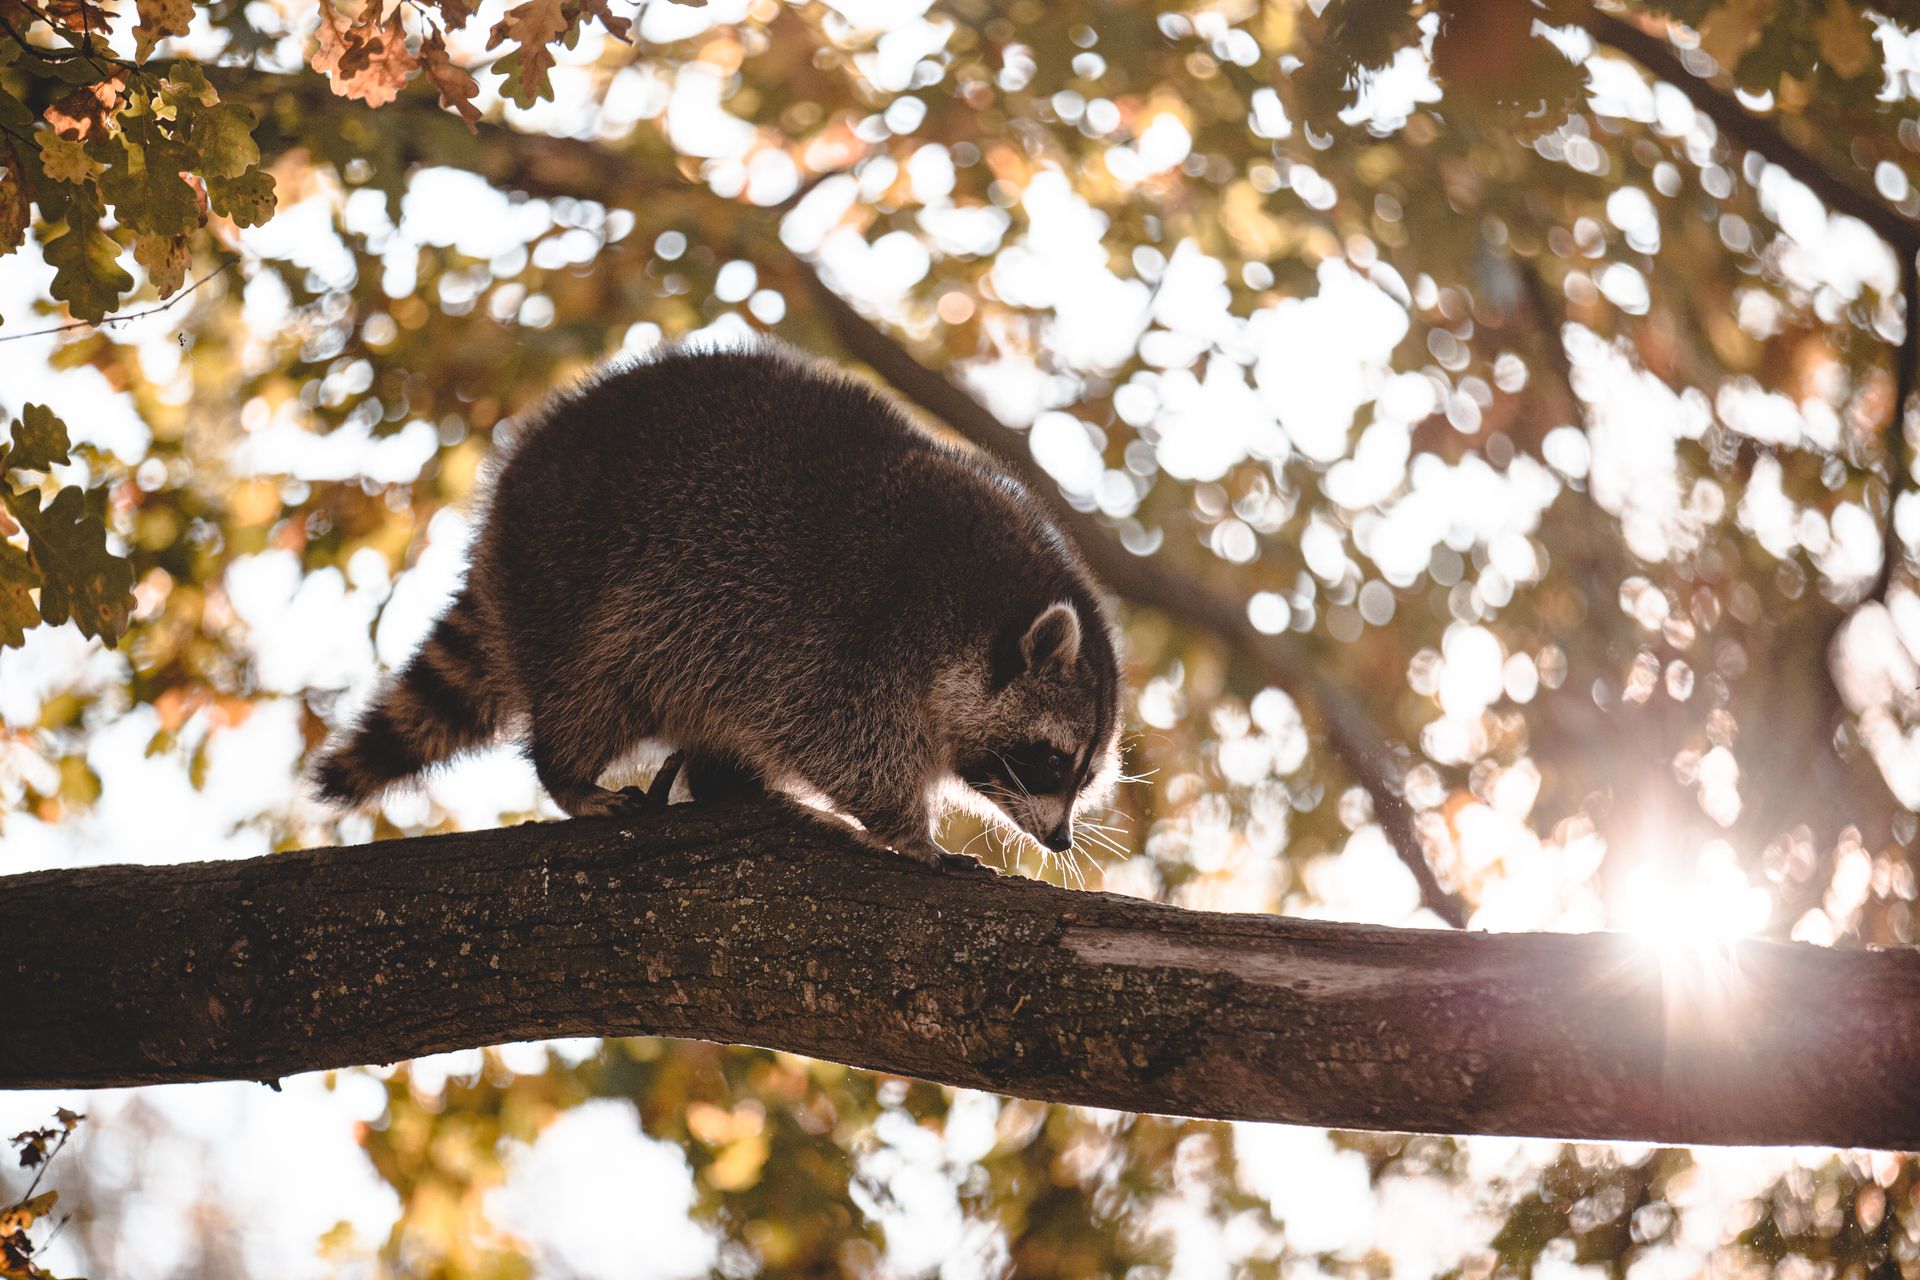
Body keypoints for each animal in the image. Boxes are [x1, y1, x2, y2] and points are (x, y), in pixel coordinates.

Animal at [312, 343, 1124, 867]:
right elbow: (837, 734)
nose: (1061, 839)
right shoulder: (853, 628)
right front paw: (906, 825)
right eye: (1050, 760)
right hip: (576, 577)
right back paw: (569, 773)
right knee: (590, 688)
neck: (976, 598)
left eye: (1084, 777)